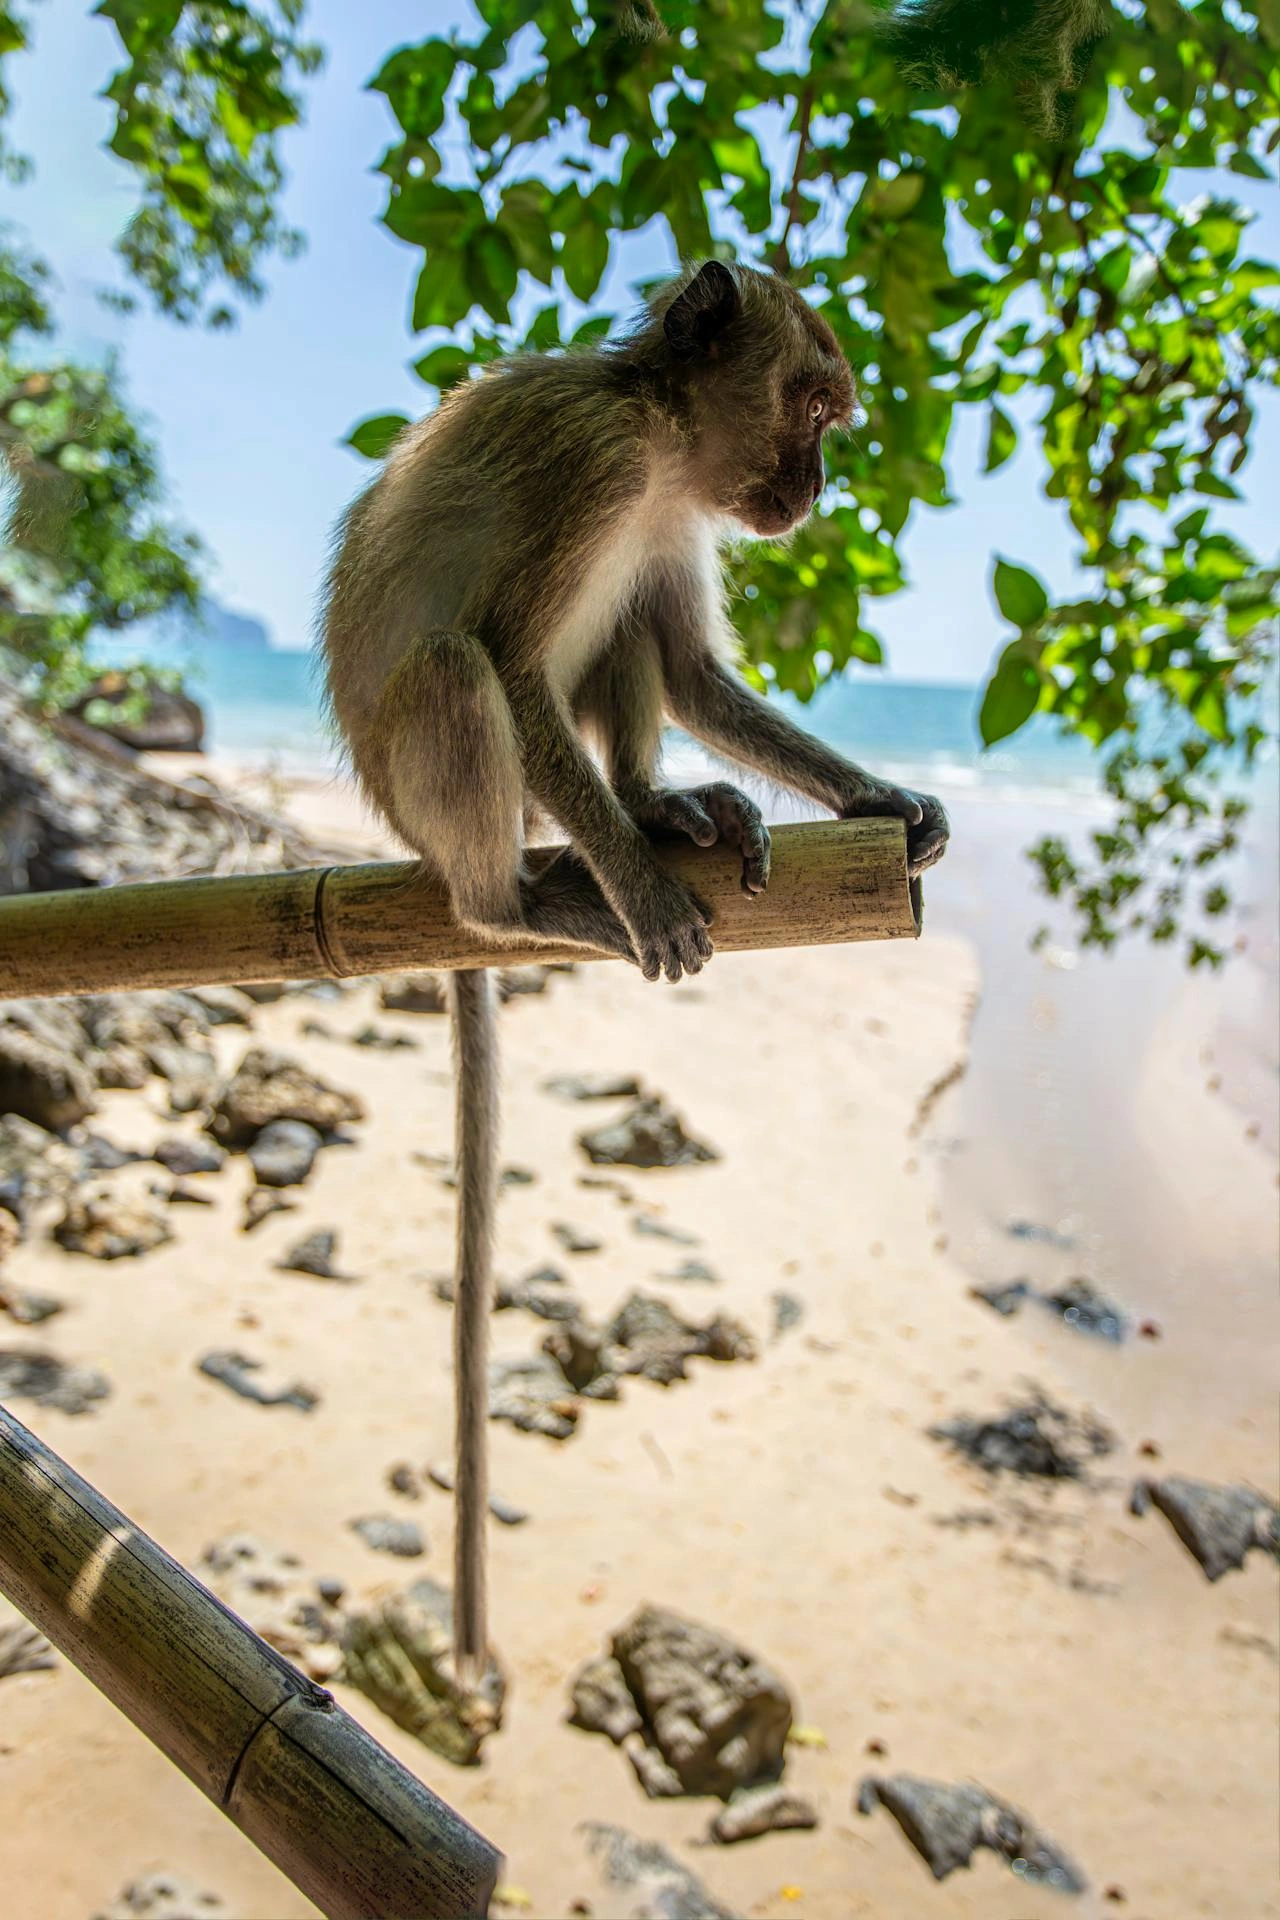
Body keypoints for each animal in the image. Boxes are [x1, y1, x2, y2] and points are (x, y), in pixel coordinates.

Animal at [319, 260, 949, 1683]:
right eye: (812, 409)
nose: (815, 488)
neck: (660, 445)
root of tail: (414, 841)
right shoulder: (594, 466)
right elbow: (506, 658)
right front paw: (645, 894)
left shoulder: (671, 519)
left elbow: (698, 674)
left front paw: (879, 796)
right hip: (435, 788)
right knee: (461, 670)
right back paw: (527, 897)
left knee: (629, 643)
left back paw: (655, 806)